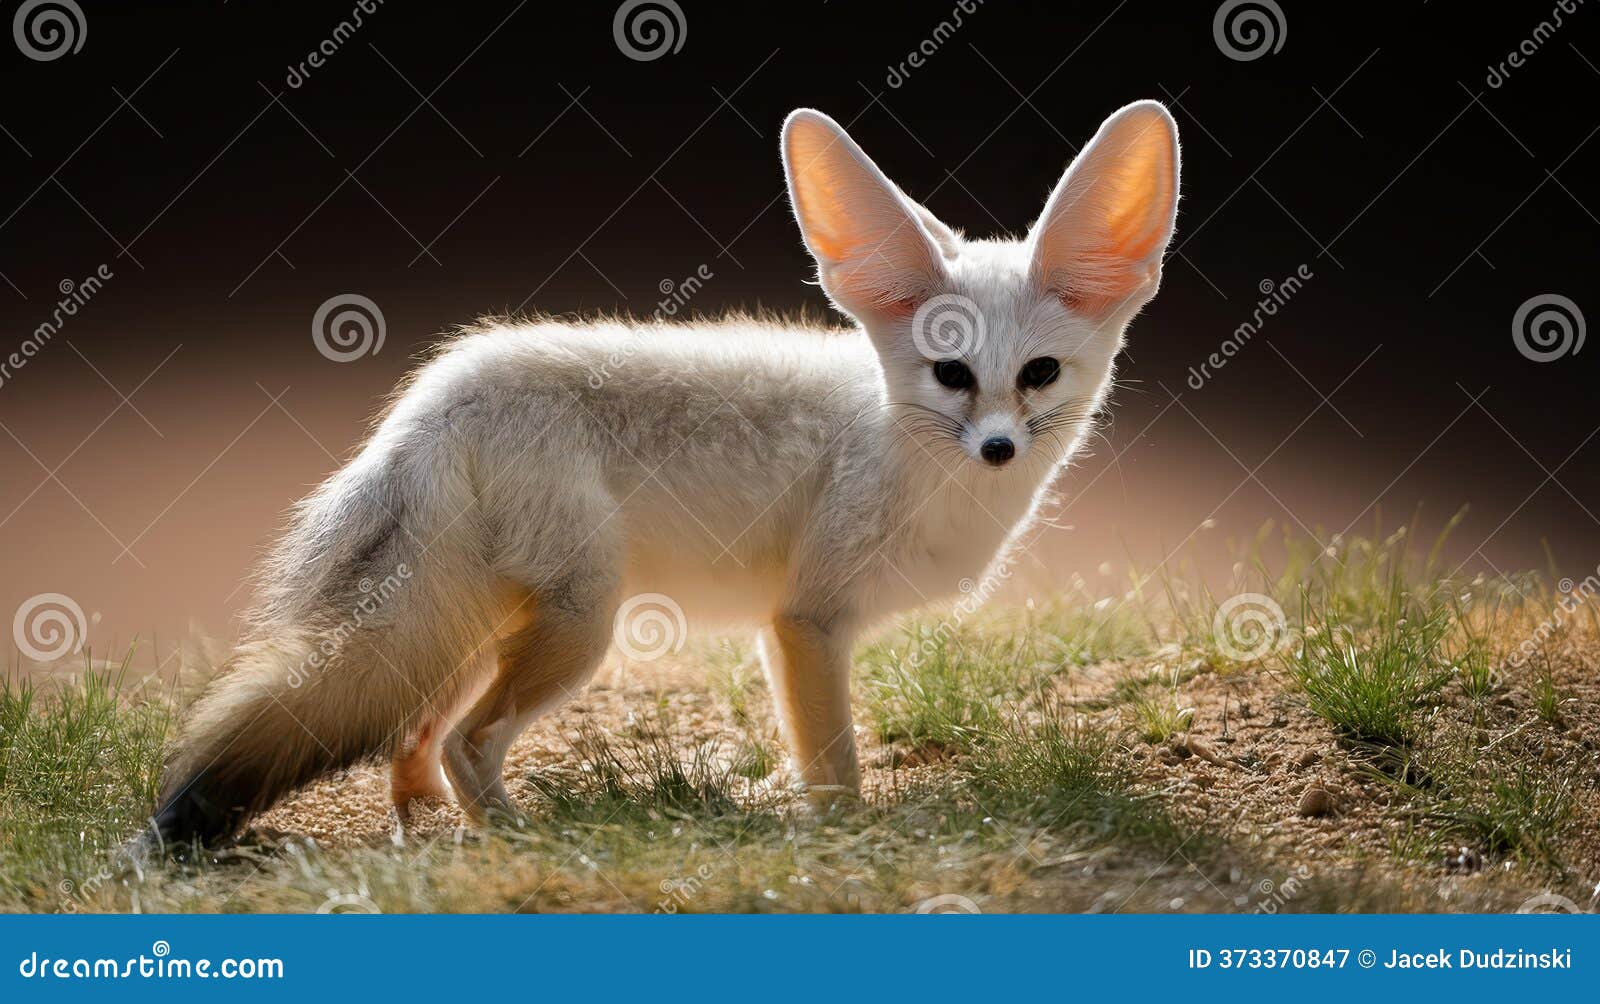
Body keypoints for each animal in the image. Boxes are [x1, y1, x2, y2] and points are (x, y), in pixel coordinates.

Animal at [148, 101, 1181, 847]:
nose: (1000, 448)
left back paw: (426, 825)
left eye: (1038, 375)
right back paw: (519, 839)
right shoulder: (804, 622)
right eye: (951, 375)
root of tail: (431, 398)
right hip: (579, 625)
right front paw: (851, 847)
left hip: (486, 618)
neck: (897, 444)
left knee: (414, 735)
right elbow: (836, 771)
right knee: (466, 741)